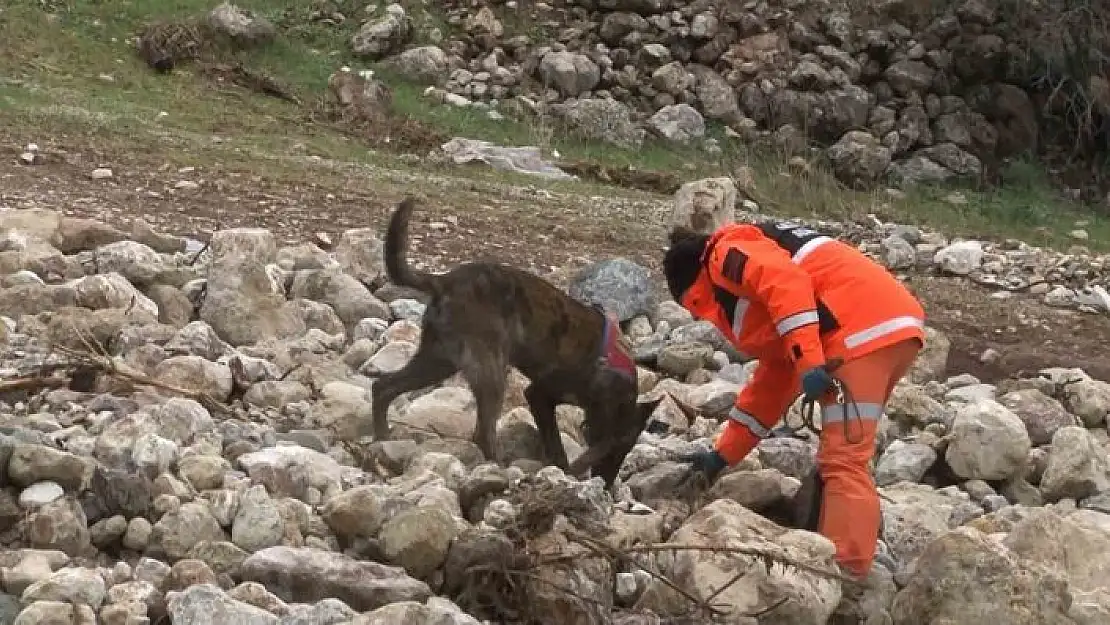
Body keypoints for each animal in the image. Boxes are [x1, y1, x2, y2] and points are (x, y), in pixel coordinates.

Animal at [368, 197, 661, 486]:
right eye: (621, 448)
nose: (607, 483)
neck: (609, 367)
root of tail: (445, 281)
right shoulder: (540, 395)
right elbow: (559, 446)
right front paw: (567, 470)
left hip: (438, 362)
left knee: (383, 386)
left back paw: (383, 439)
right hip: (490, 373)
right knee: (482, 434)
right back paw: (499, 471)